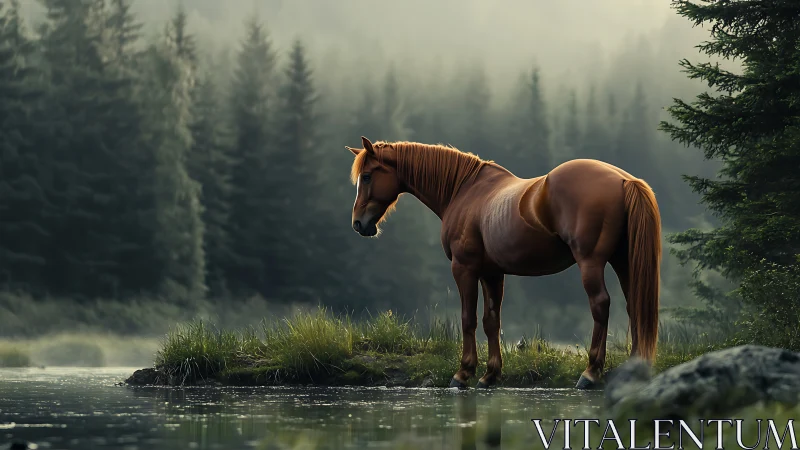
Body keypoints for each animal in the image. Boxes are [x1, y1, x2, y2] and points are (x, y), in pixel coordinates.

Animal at [345, 136, 661, 390]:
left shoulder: (464, 268)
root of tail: (622, 179)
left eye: (368, 176)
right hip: (622, 261)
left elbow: (468, 319)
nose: (359, 223)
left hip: (591, 262)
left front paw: (463, 374)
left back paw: (590, 373)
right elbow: (491, 320)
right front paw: (490, 375)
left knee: (600, 305)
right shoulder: (492, 273)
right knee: (634, 306)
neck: (464, 191)